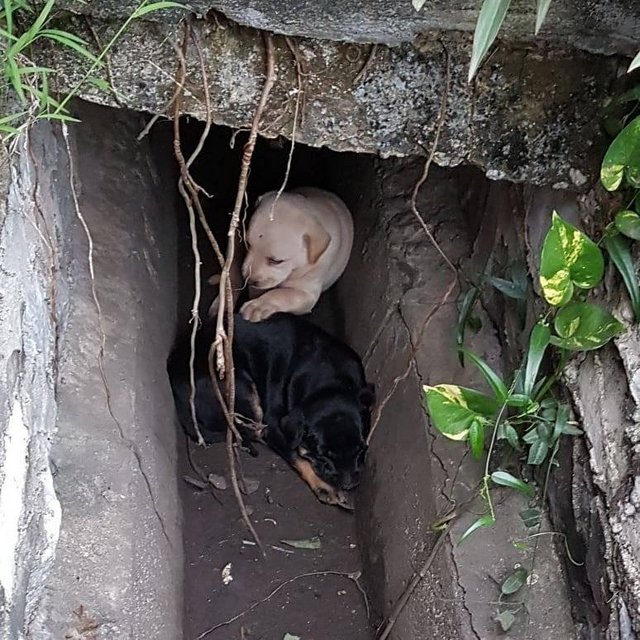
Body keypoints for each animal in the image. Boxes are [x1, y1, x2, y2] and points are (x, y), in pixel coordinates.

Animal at [168, 312, 372, 508]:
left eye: (361, 449)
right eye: (323, 455)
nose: (348, 485)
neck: (330, 380)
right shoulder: (274, 425)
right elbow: (296, 455)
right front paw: (325, 487)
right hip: (239, 385)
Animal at [239, 188, 352, 322]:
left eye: (276, 261)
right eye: (248, 244)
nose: (249, 281)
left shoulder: (307, 294)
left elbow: (281, 294)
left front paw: (258, 306)